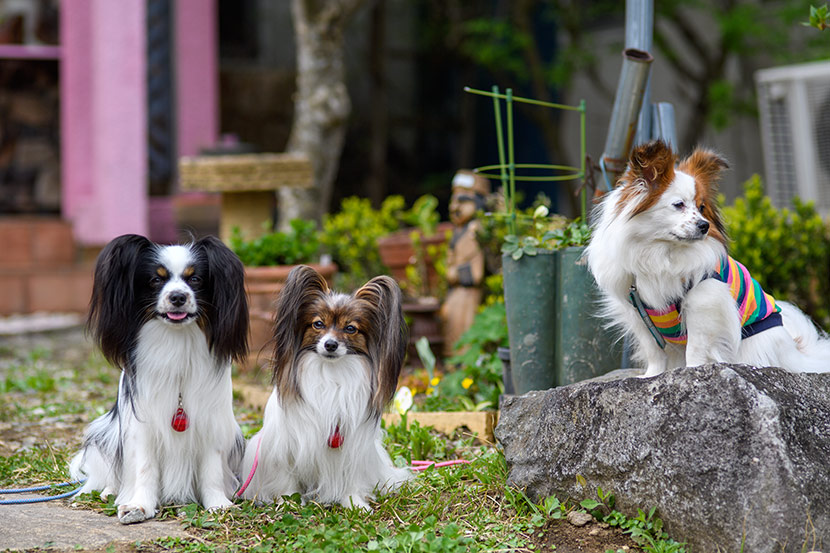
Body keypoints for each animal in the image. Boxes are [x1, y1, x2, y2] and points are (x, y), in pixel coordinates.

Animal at [69, 233, 250, 520]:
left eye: (195, 280)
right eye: (156, 280)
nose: (177, 297)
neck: (176, 342)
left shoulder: (210, 421)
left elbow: (210, 469)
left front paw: (217, 504)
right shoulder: (143, 427)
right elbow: (145, 468)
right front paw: (139, 505)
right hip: (105, 435)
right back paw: (109, 491)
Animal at [239, 264, 412, 508]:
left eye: (350, 328)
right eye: (318, 324)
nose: (330, 344)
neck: (331, 374)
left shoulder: (352, 448)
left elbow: (350, 478)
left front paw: (355, 503)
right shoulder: (286, 446)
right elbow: (286, 478)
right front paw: (288, 501)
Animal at [584, 140, 830, 378]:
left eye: (702, 207)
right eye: (679, 205)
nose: (704, 225)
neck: (660, 252)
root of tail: (792, 351)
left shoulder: (703, 303)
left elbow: (695, 347)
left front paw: (692, 370)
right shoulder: (637, 312)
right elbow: (654, 352)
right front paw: (651, 376)